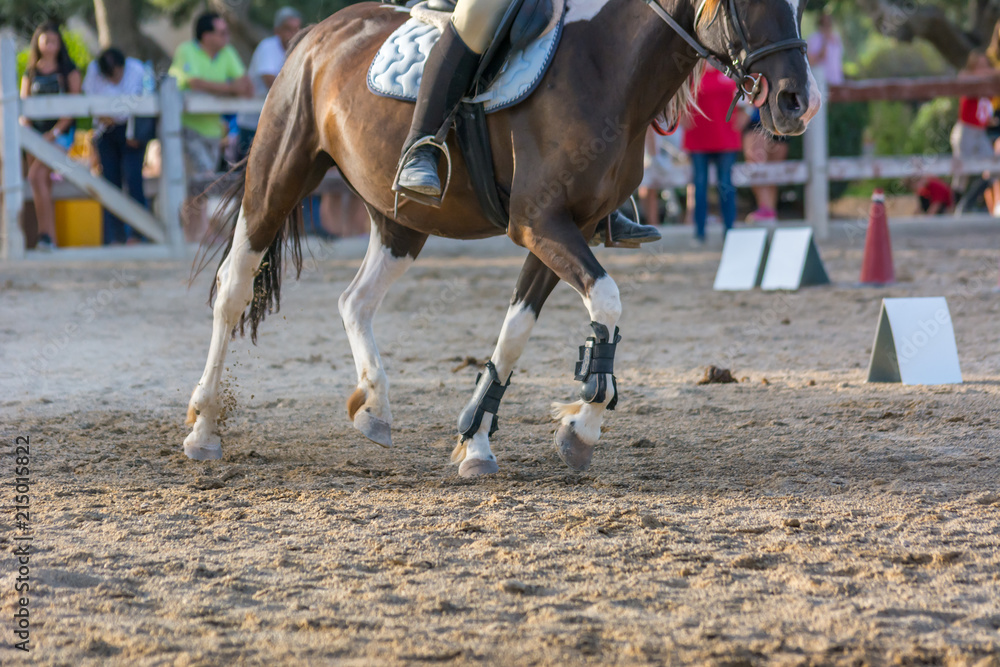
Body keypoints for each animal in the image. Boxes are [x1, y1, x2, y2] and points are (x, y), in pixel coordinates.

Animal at [183, 0, 820, 476]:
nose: (800, 102)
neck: (607, 64)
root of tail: (320, 31)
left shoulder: (567, 229)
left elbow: (516, 332)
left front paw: (482, 440)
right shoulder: (540, 223)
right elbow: (608, 302)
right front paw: (584, 418)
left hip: (402, 222)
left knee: (354, 300)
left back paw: (375, 407)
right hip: (279, 175)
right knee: (234, 289)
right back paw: (204, 427)